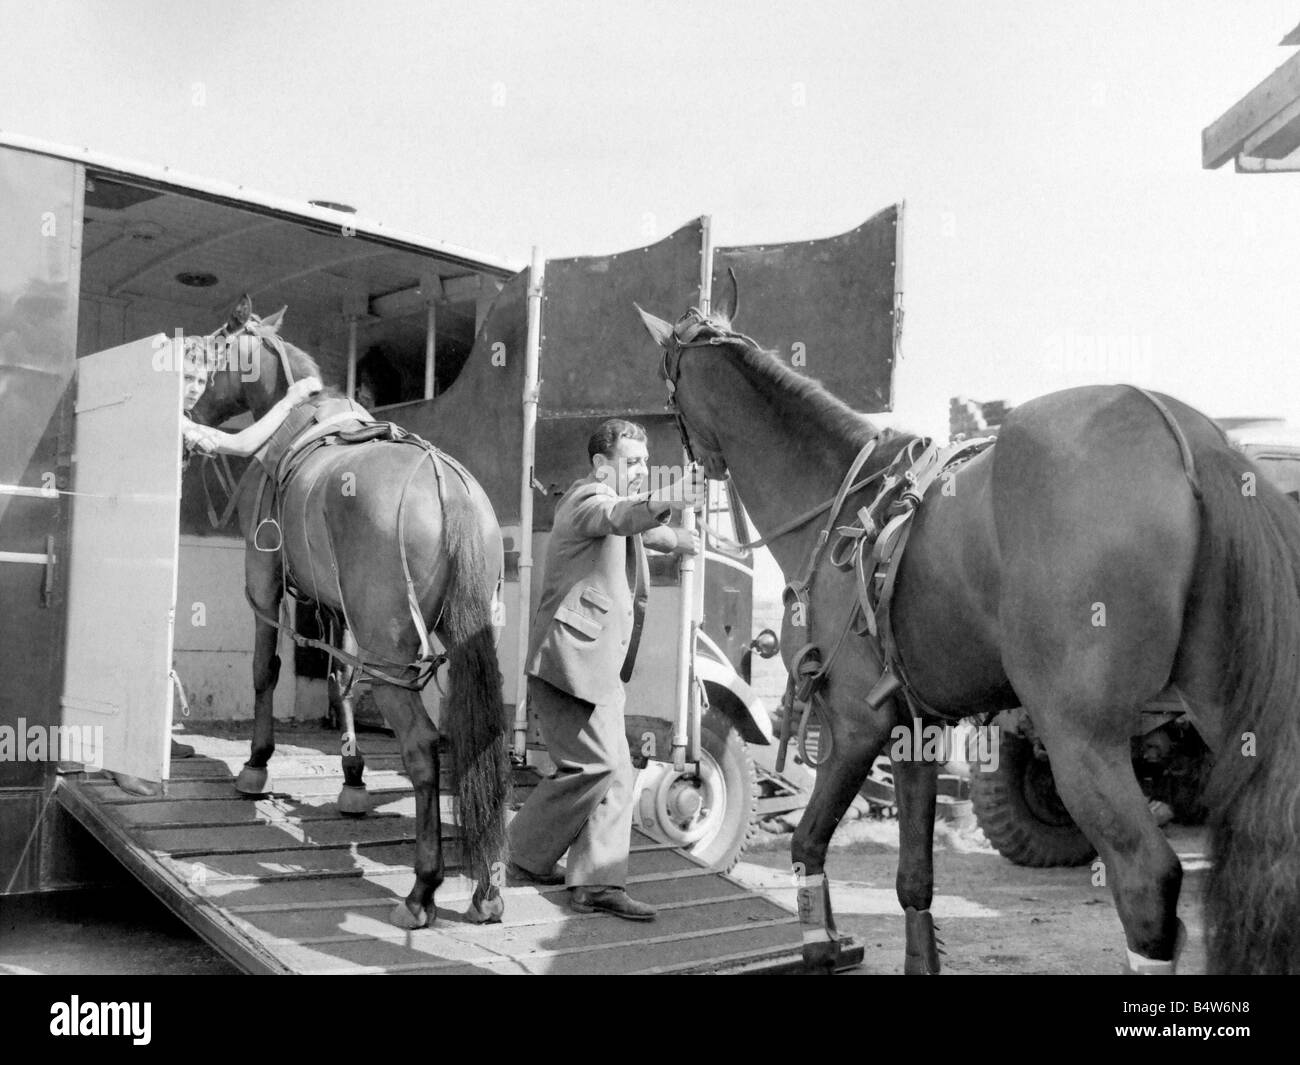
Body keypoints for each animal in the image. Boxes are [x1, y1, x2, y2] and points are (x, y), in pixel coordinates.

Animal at [189, 301, 509, 931]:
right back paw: (485, 887)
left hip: (391, 654)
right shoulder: (333, 605)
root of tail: (449, 490)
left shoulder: (265, 585)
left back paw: (423, 889)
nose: (191, 412)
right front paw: (353, 775)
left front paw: (256, 765)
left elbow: (265, 670)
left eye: (214, 353)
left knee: (423, 748)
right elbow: (339, 679)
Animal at [634, 289, 1300, 972]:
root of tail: (1182, 435)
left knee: (1146, 877)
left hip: (1079, 736)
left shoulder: (855, 723)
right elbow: (914, 879)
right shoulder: (914, 727)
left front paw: (820, 946)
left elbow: (808, 842)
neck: (843, 499)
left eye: (667, 387)